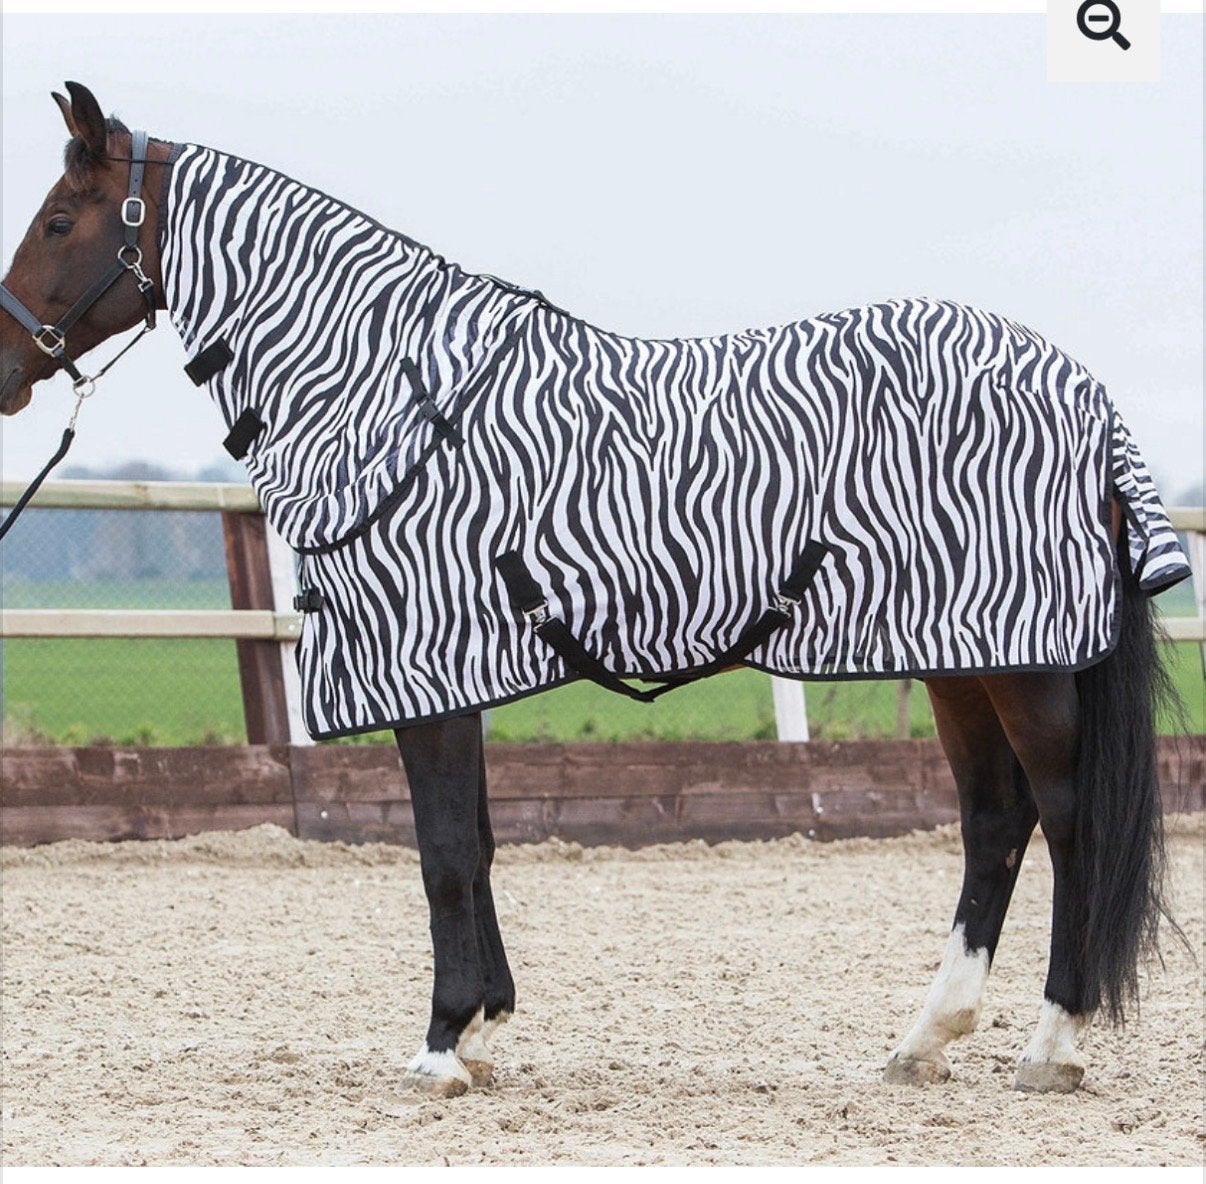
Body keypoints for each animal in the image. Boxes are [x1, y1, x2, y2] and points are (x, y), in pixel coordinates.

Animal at [0, 82, 1190, 1099]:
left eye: (60, 220)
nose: (6, 365)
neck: (396, 395)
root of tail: (1083, 389)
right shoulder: (455, 675)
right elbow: (475, 845)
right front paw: (484, 1024)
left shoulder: (429, 668)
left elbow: (442, 854)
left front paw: (441, 1045)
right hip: (960, 657)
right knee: (994, 819)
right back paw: (924, 1038)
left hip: (1026, 666)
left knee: (1069, 817)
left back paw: (1053, 1042)